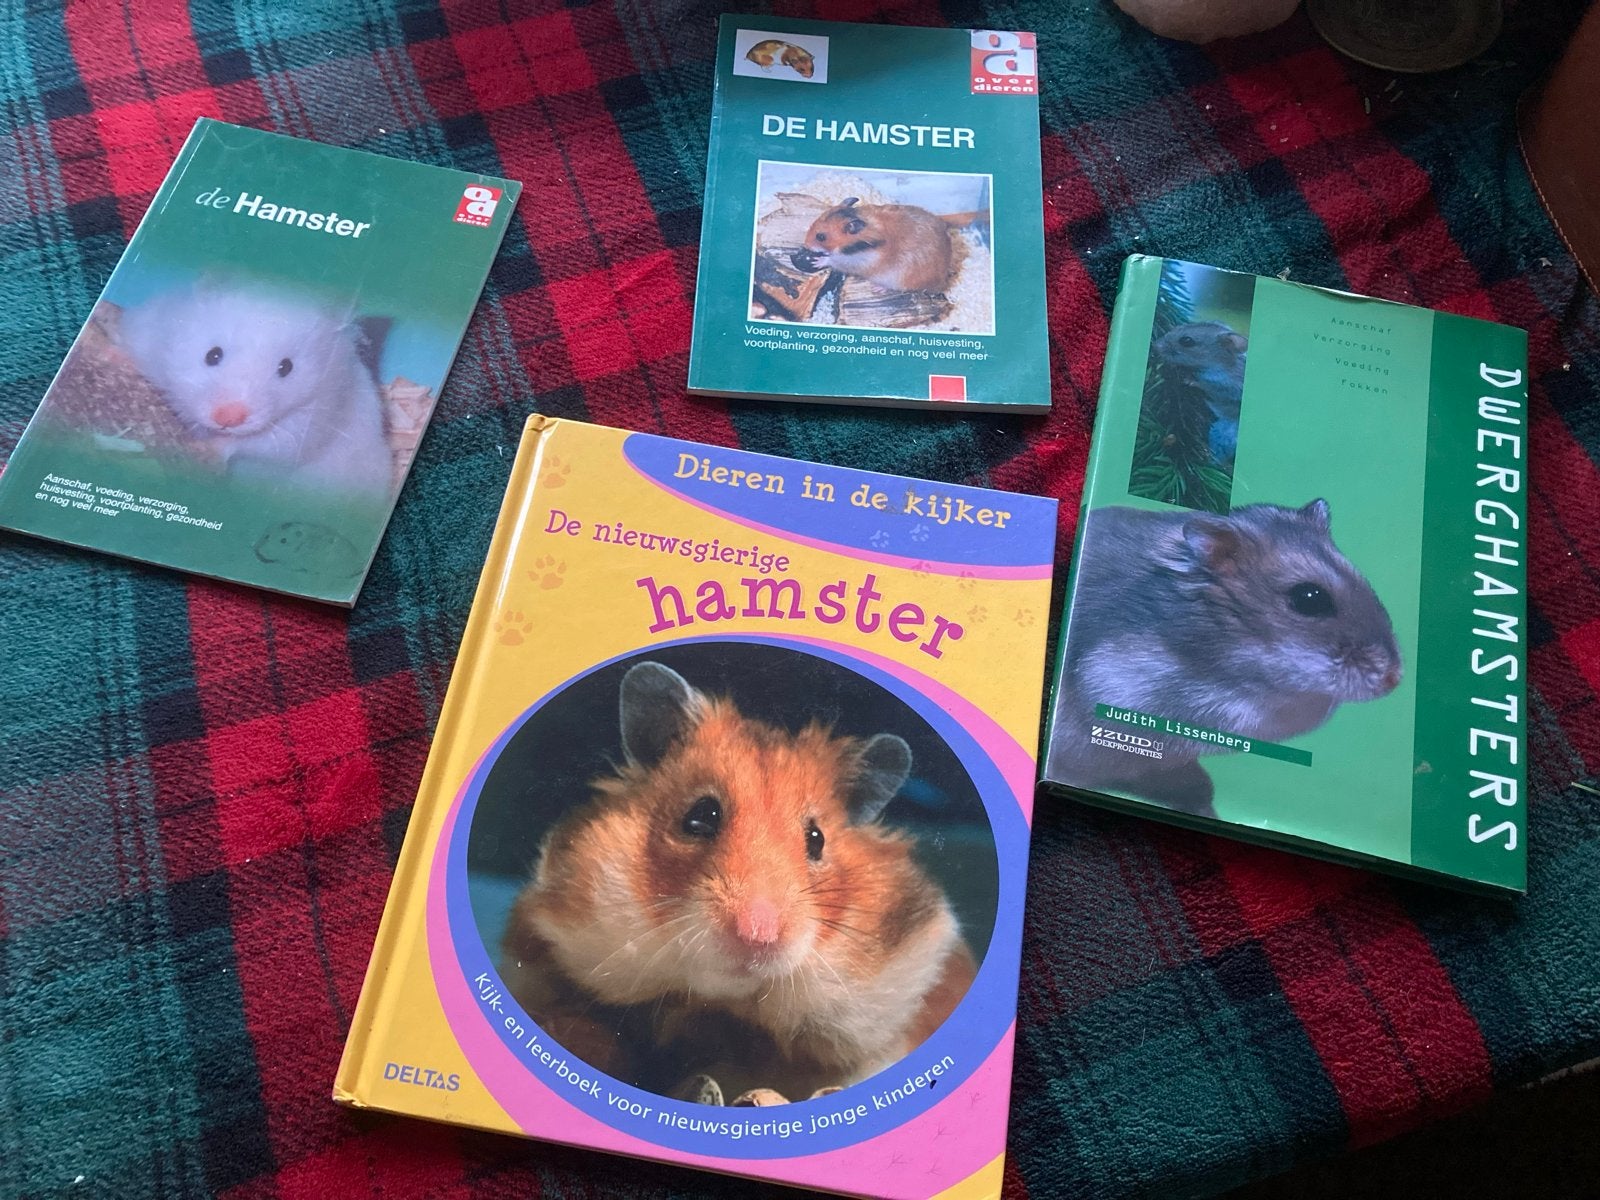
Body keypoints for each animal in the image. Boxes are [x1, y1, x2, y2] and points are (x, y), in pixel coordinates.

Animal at [118, 281, 393, 496]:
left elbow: (256, 443)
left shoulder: (312, 421)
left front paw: (209, 447)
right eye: (213, 354)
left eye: (286, 367)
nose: (227, 419)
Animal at [791, 198, 957, 294]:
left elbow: (834, 260)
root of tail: (942, 281)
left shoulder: (854, 260)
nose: (805, 244)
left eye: (821, 237)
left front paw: (818, 261)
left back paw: (877, 288)